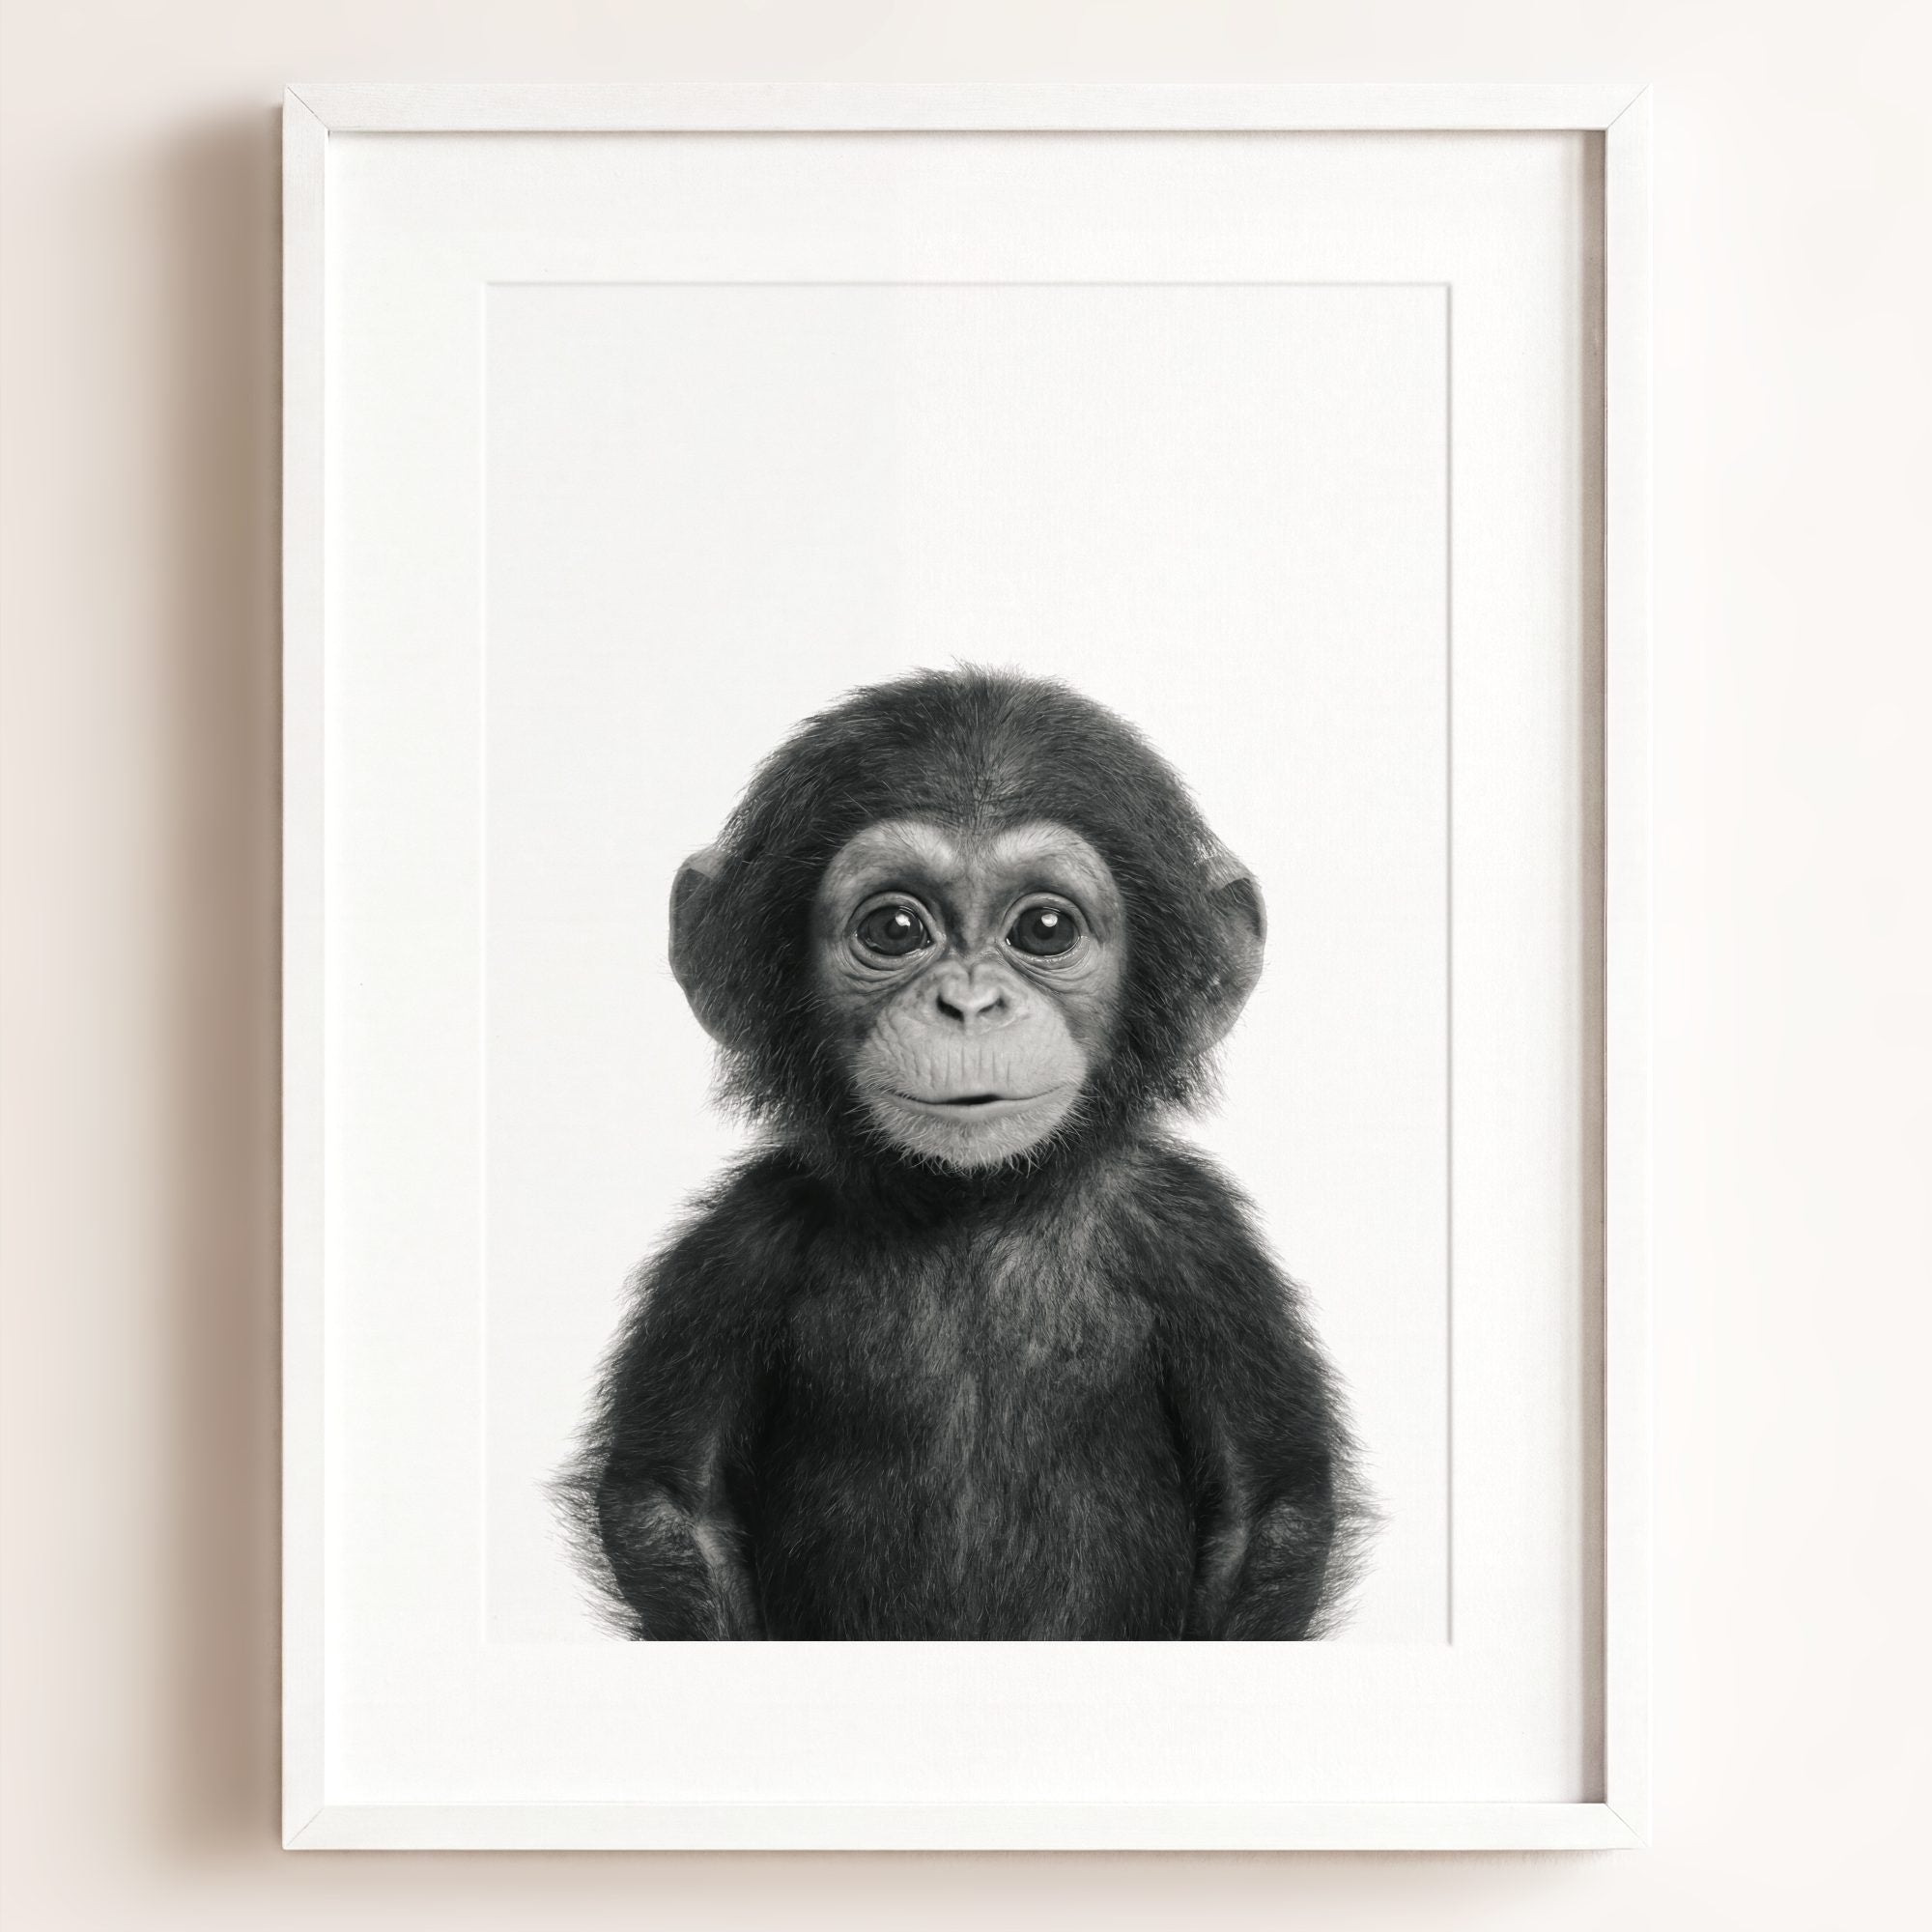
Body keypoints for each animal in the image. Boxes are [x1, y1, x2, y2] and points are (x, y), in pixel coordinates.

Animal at [564, 667, 1367, 1640]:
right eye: (896, 929)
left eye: (1046, 928)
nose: (971, 1005)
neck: (972, 1202)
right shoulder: (738, 1247)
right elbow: (672, 1505)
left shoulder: (1201, 1244)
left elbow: (1267, 1510)